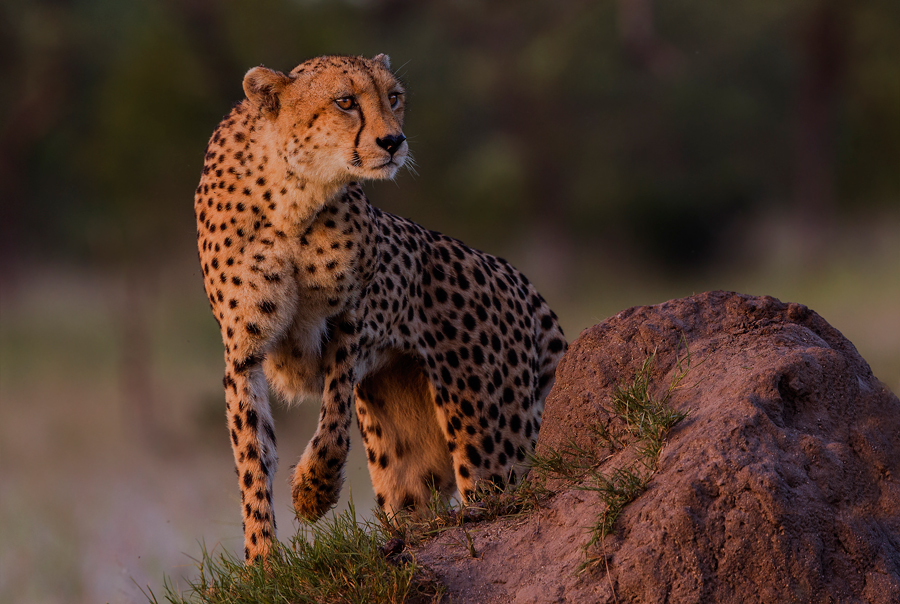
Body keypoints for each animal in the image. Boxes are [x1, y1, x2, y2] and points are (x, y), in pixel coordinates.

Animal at [194, 53, 567, 563]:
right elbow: (253, 458)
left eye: (393, 97)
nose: (393, 141)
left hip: (490, 443)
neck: (293, 195)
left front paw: (313, 490)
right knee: (415, 505)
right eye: (345, 102)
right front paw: (262, 562)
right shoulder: (243, 351)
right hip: (411, 462)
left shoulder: (348, 322)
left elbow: (333, 420)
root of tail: (515, 275)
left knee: (495, 487)